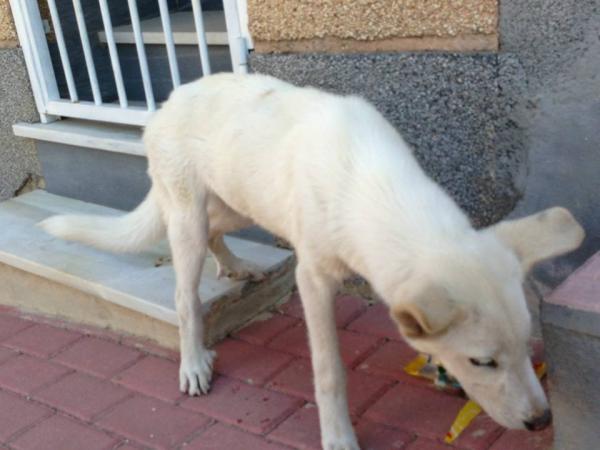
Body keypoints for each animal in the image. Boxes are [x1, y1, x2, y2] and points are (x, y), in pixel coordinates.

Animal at [41, 74, 580, 450]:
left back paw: (236, 266)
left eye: (528, 345)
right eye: (482, 362)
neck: (372, 186)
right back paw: (193, 362)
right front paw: (338, 437)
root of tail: (167, 102)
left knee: (218, 232)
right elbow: (329, 372)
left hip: (240, 202)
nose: (542, 421)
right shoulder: (313, 279)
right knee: (184, 297)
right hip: (189, 219)